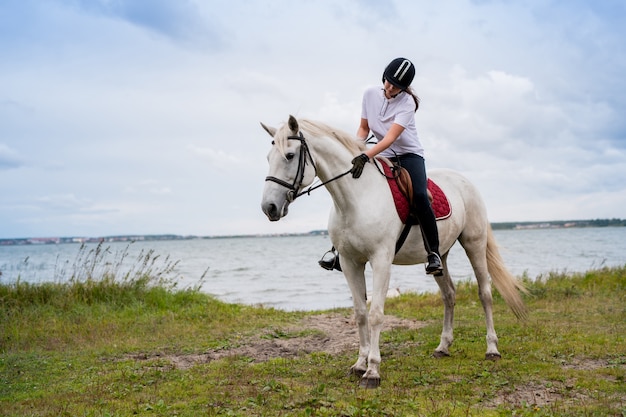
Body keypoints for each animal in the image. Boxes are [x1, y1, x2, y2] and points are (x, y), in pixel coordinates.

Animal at [260, 115, 528, 388]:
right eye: (269, 157)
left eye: (290, 155)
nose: (269, 207)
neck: (356, 197)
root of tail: (464, 181)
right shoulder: (349, 262)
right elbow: (360, 313)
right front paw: (359, 364)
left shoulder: (381, 260)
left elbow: (376, 313)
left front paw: (372, 371)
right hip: (440, 255)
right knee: (449, 294)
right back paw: (443, 347)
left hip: (474, 243)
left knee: (485, 293)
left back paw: (492, 349)